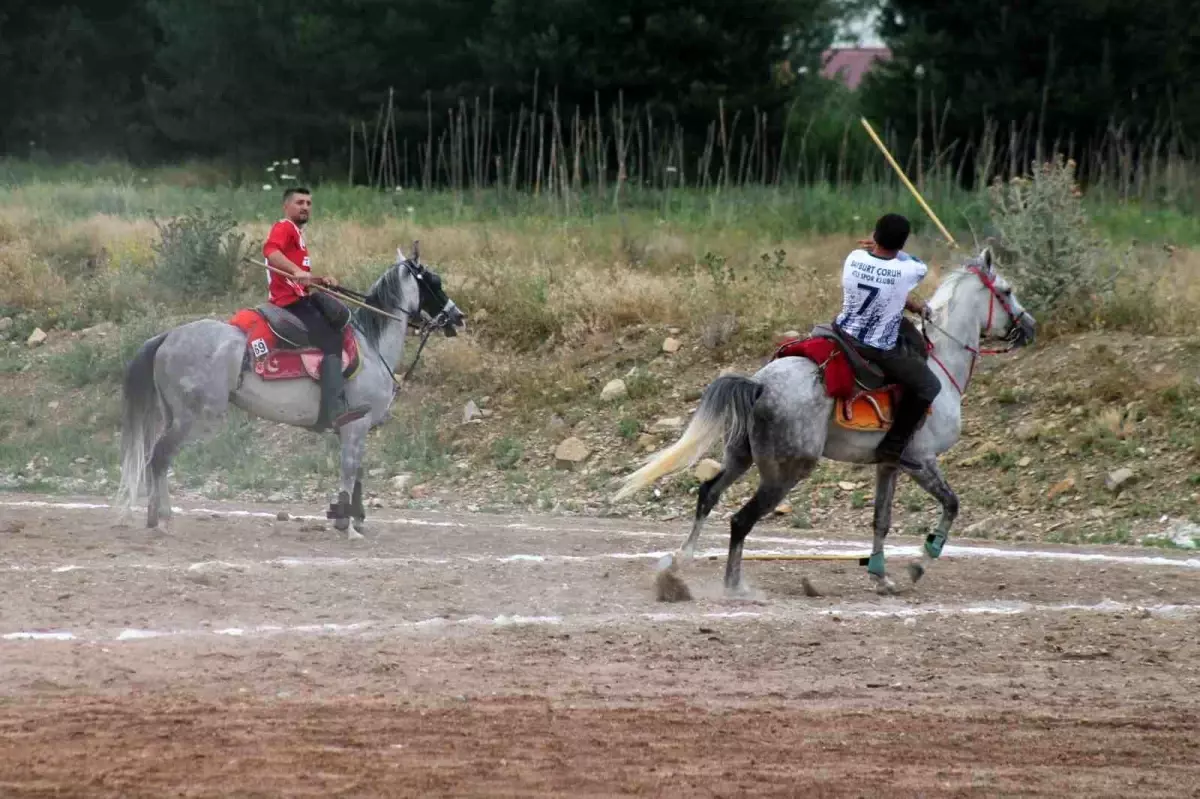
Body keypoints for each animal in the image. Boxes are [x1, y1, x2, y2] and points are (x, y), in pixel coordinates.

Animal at [114, 242, 463, 535]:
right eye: (434, 281)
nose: (458, 317)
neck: (372, 345)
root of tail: (169, 335)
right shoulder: (356, 424)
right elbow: (350, 470)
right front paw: (346, 522)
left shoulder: (355, 430)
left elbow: (358, 471)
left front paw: (353, 517)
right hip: (195, 418)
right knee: (159, 458)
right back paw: (162, 519)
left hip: (173, 414)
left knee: (157, 458)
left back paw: (156, 516)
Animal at [614, 245, 1036, 595]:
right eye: (1008, 290)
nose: (1029, 327)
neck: (941, 361)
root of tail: (759, 384)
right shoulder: (921, 460)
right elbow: (951, 504)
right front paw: (920, 562)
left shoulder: (889, 463)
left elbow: (881, 520)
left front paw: (881, 576)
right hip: (785, 473)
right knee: (740, 520)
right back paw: (735, 587)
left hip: (741, 456)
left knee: (708, 495)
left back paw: (680, 564)